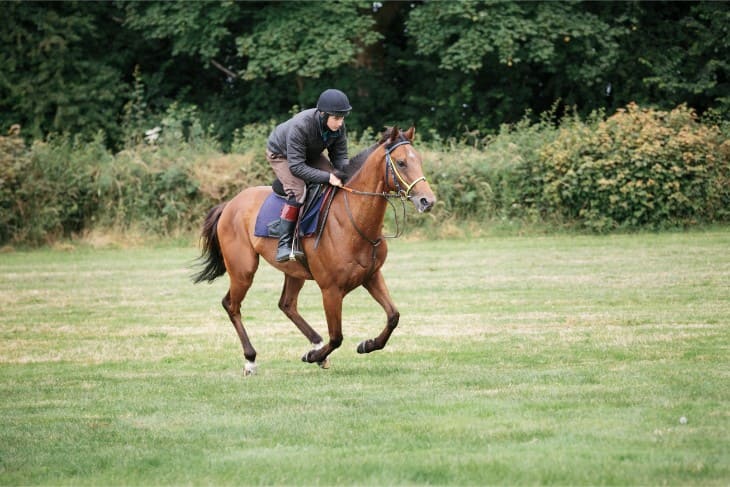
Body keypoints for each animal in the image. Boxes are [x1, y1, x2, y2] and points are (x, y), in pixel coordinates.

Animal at [191, 127, 436, 376]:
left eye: (419, 160)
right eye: (401, 162)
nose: (427, 200)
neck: (352, 220)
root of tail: (229, 204)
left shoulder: (371, 276)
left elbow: (393, 316)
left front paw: (367, 345)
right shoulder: (331, 290)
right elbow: (337, 337)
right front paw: (313, 356)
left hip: (293, 271)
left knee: (286, 304)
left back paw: (315, 344)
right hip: (243, 270)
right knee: (232, 305)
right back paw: (251, 359)